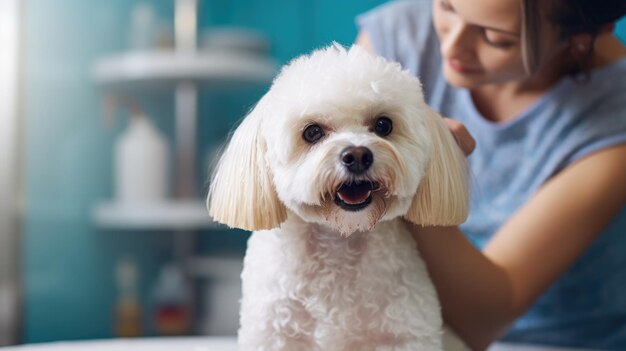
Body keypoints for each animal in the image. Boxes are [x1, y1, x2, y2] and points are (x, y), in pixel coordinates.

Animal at [207, 44, 466, 351]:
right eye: (312, 132)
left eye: (383, 125)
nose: (357, 155)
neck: (339, 241)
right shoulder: (272, 332)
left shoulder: (406, 335)